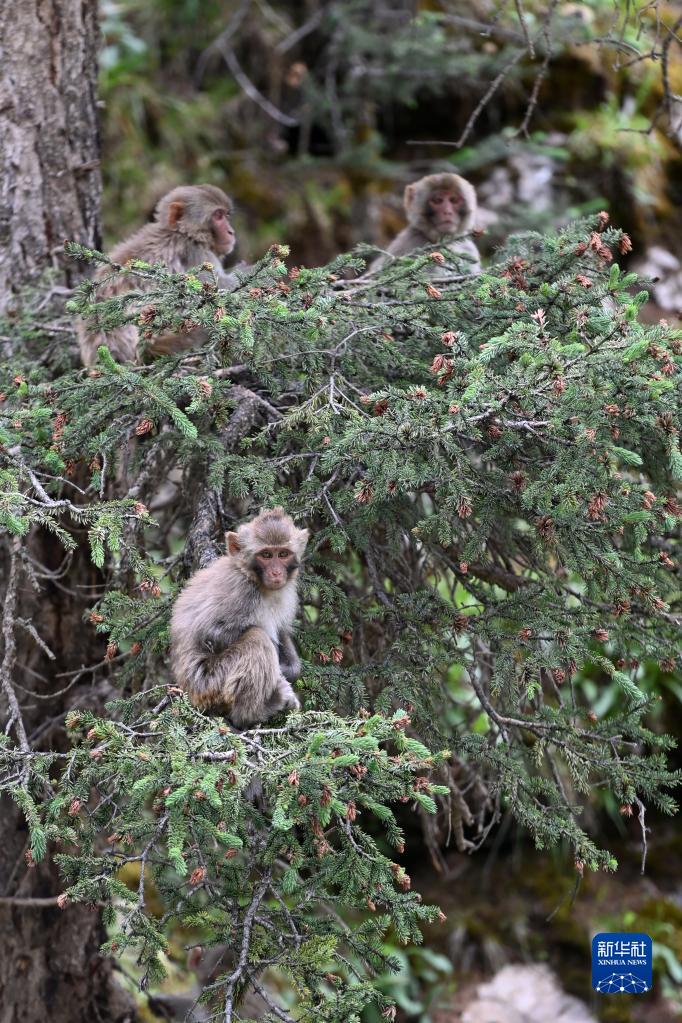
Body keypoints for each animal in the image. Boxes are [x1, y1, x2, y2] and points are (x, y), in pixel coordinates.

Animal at [79, 185, 239, 368]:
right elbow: (220, 290)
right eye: (218, 215)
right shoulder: (197, 254)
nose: (231, 232)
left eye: (226, 215)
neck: (183, 233)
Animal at [170, 509, 308, 728]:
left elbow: (282, 630)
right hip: (210, 683)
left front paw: (291, 668)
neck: (256, 581)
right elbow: (211, 633)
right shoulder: (240, 592)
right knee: (257, 638)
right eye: (266, 555)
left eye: (283, 554)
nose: (276, 572)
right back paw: (253, 713)